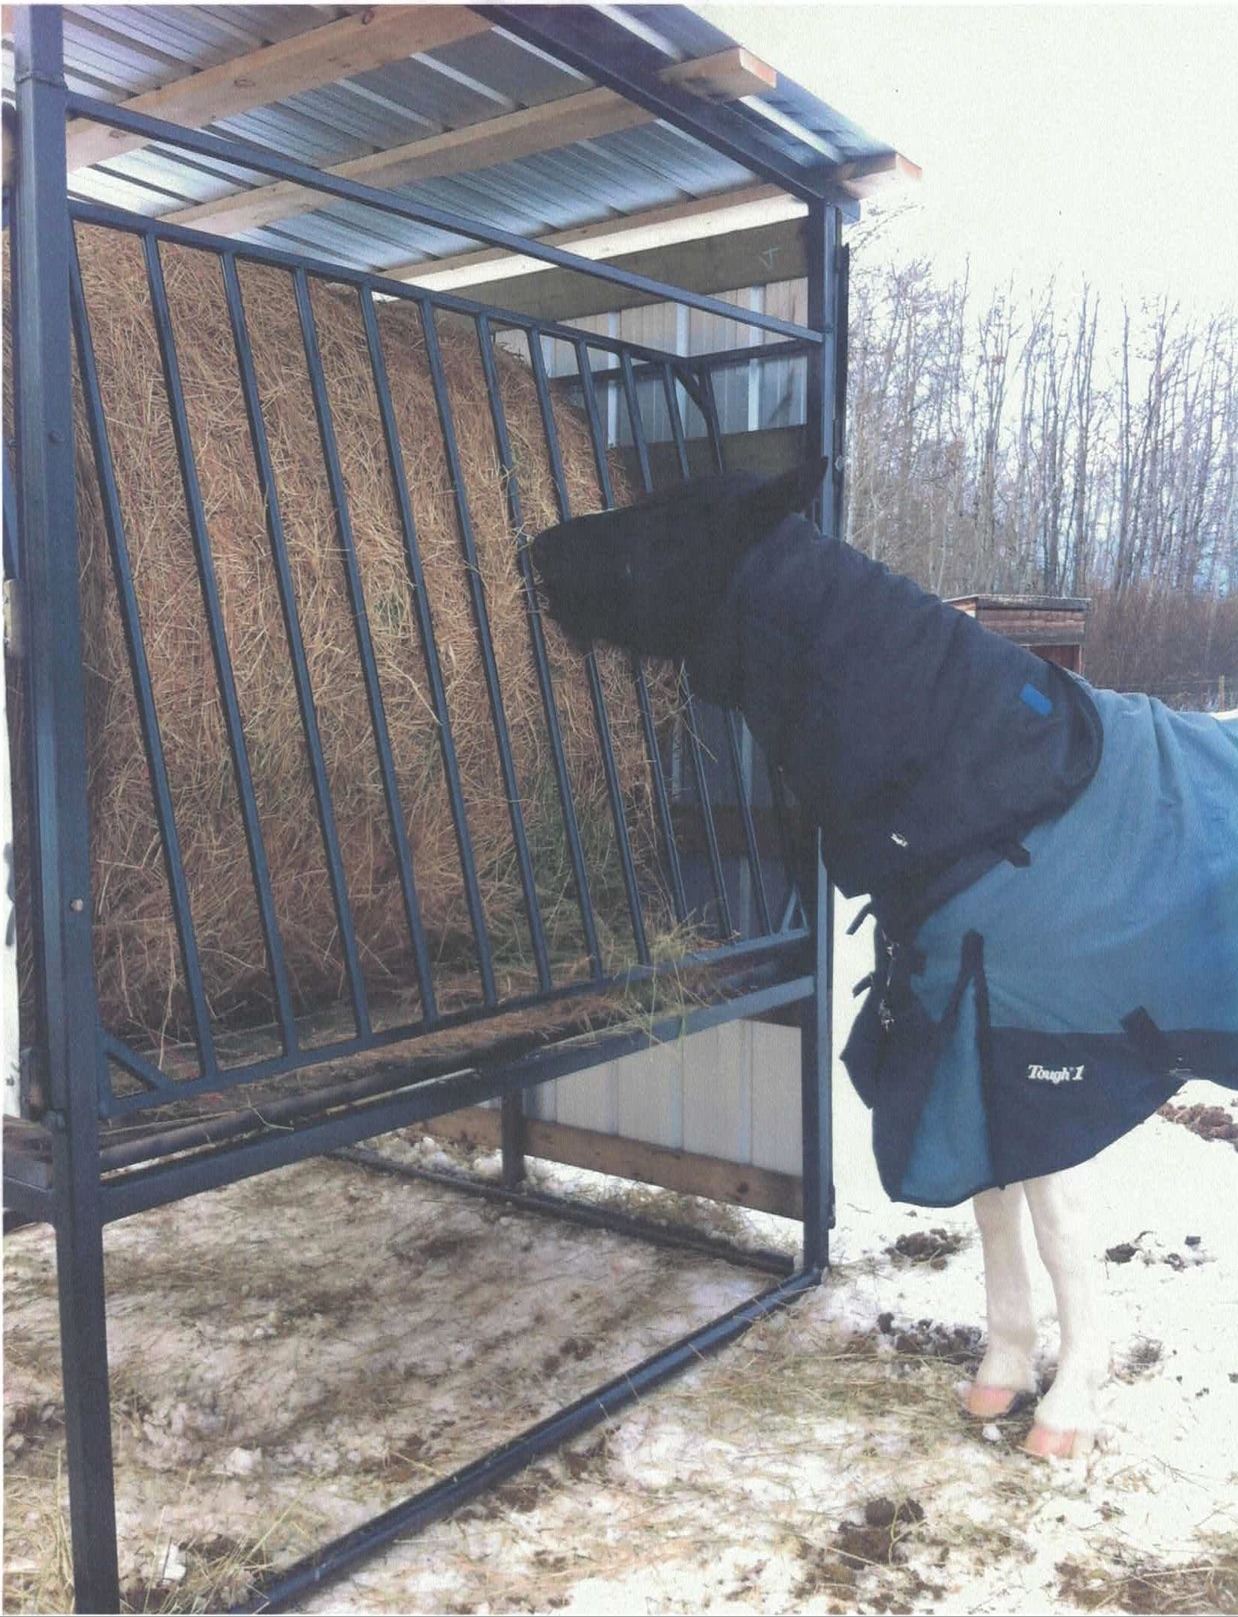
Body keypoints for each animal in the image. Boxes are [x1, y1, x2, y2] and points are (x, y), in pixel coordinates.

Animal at [530, 460, 1238, 1458]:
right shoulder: (961, 1052)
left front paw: (1065, 1410)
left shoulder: (1042, 1065)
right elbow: (995, 1214)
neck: (995, 801)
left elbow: (1058, 1235)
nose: (537, 549)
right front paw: (1001, 1376)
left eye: (674, 520)